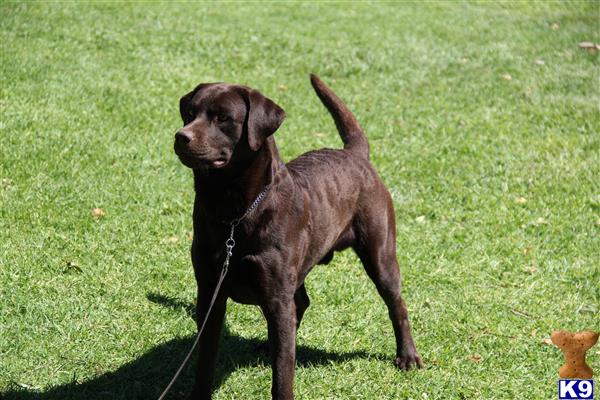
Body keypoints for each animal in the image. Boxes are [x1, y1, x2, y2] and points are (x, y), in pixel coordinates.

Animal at [173, 73, 422, 398]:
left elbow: (282, 375)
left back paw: (408, 356)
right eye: (190, 113)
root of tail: (354, 153)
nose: (181, 136)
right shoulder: (209, 292)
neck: (233, 214)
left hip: (380, 253)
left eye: (223, 118)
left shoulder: (277, 298)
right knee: (301, 303)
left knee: (397, 303)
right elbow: (205, 359)